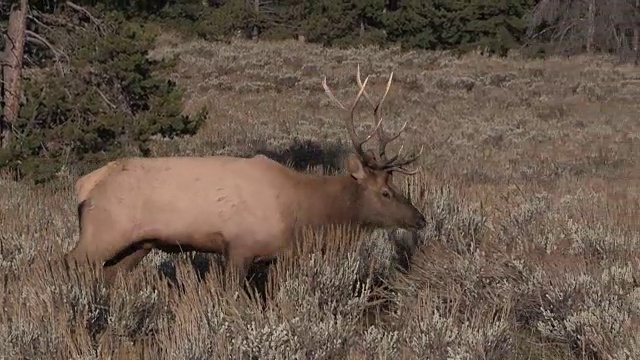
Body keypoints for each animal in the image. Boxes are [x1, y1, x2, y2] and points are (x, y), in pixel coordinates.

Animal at [63, 64, 424, 284]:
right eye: (386, 192)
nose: (420, 219)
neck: (300, 213)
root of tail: (83, 185)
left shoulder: (273, 258)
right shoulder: (238, 247)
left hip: (138, 244)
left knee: (109, 275)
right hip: (103, 231)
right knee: (66, 262)